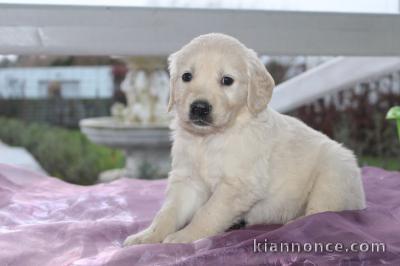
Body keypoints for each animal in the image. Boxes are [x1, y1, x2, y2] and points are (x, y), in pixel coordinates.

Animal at [124, 33, 366, 245]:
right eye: (186, 76)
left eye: (227, 80)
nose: (199, 108)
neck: (209, 140)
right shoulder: (187, 180)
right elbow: (167, 212)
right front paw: (147, 236)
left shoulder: (238, 185)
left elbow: (207, 212)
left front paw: (184, 236)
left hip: (334, 174)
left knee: (320, 212)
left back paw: (295, 222)